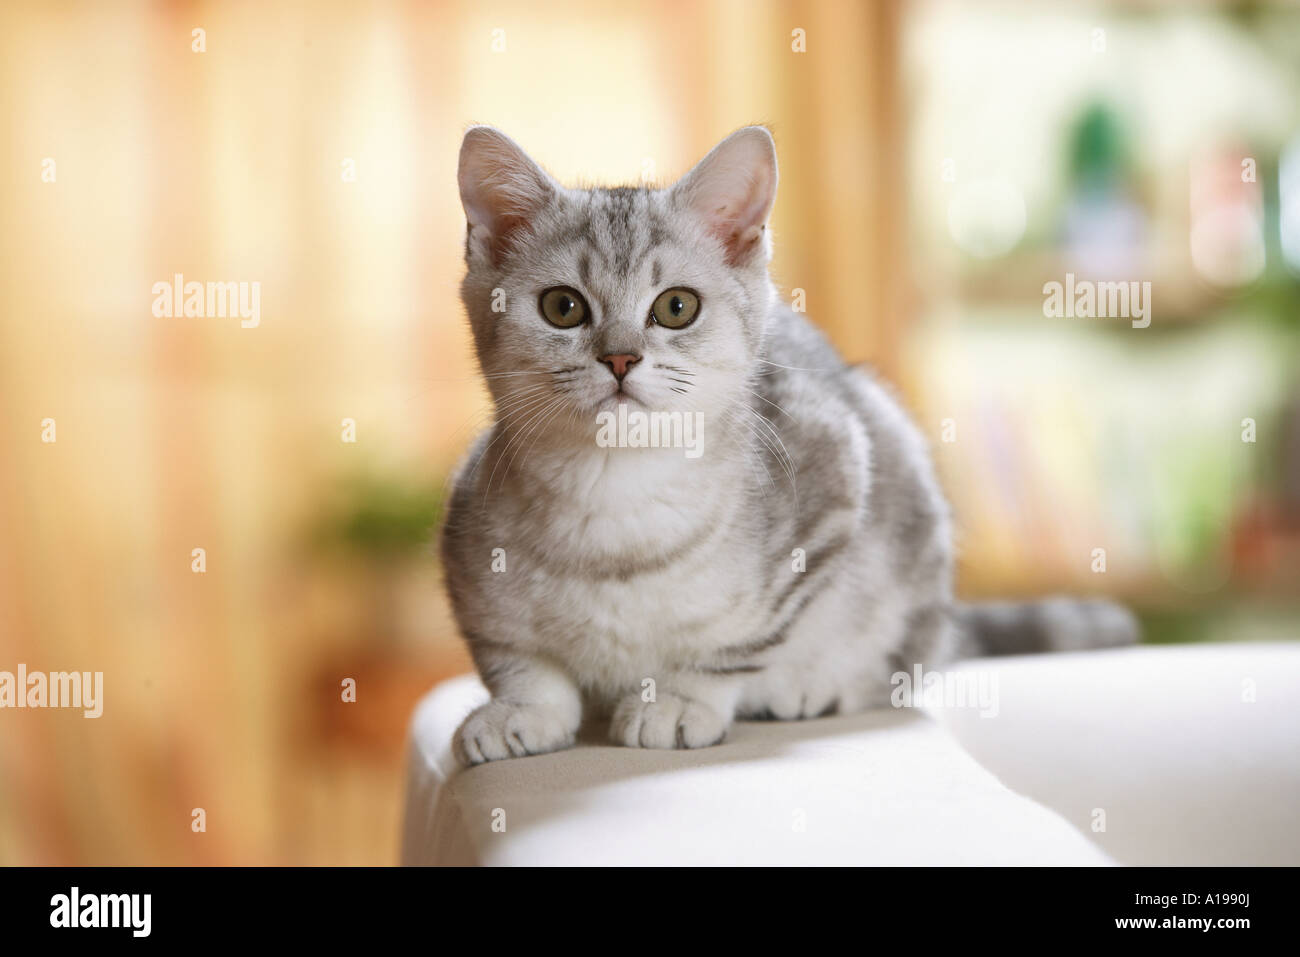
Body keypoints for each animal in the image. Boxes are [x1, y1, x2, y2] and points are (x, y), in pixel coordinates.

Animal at [439, 125, 1138, 764]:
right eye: (562, 307)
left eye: (675, 307)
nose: (619, 358)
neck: (615, 508)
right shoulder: (469, 557)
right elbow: (518, 659)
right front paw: (521, 710)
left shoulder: (836, 471)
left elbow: (736, 642)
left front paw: (682, 697)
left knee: (899, 667)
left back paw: (810, 687)